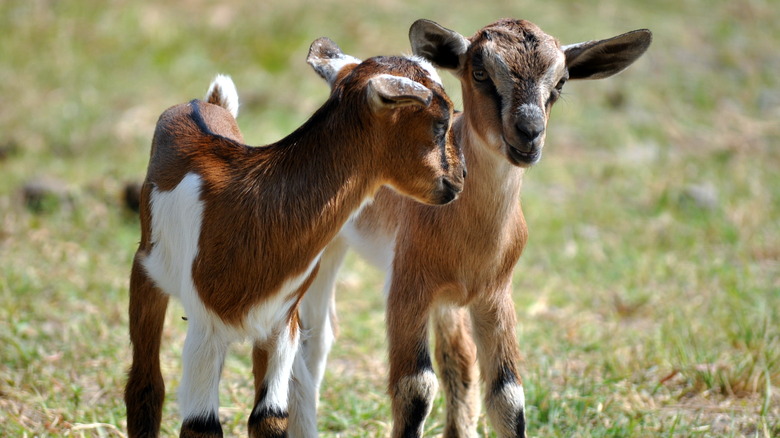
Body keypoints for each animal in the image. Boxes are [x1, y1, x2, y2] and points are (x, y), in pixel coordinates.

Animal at [122, 38, 464, 438]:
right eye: (440, 122)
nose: (459, 180)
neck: (254, 204)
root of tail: (202, 103)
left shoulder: (281, 323)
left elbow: (269, 417)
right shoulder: (205, 328)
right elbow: (201, 426)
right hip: (146, 275)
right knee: (145, 384)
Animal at [296, 18, 648, 436]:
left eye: (561, 82)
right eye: (480, 73)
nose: (529, 132)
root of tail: (346, 68)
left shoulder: (494, 297)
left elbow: (507, 396)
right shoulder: (406, 289)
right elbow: (415, 388)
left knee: (459, 358)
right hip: (328, 249)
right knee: (315, 339)